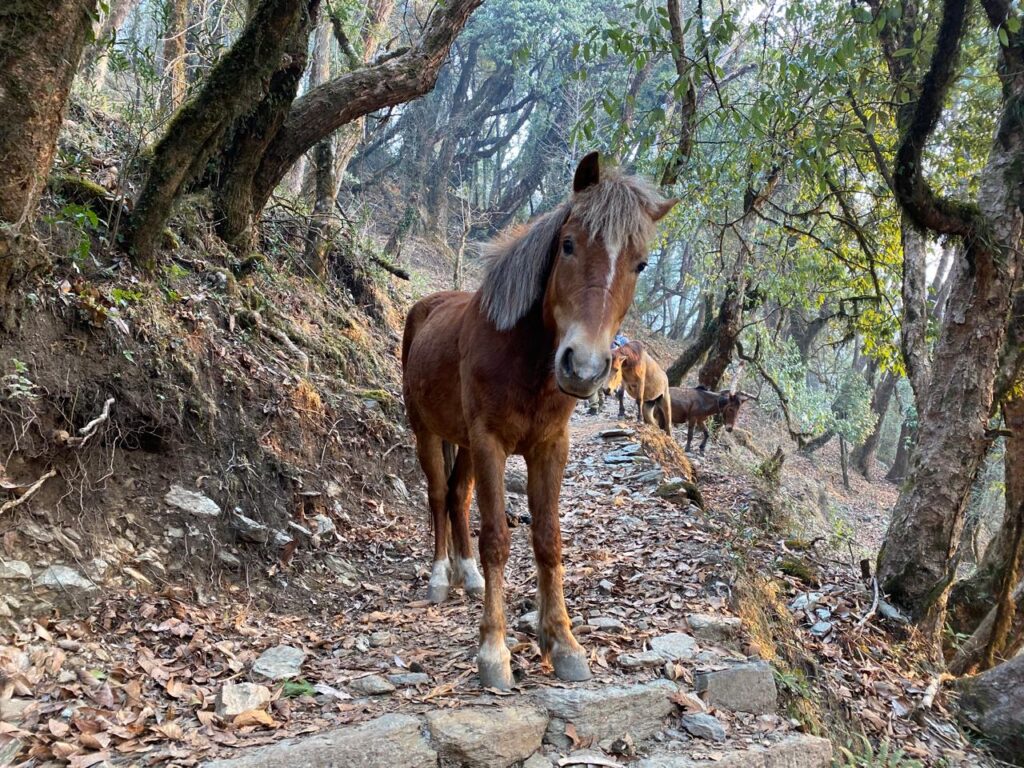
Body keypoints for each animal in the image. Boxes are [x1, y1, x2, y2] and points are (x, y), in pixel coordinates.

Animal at [402, 152, 676, 689]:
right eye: (568, 244)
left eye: (640, 264)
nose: (584, 367)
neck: (524, 360)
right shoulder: (491, 442)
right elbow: (497, 540)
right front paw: (493, 651)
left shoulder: (550, 446)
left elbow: (548, 540)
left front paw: (563, 642)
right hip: (428, 432)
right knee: (440, 495)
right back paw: (442, 576)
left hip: (465, 443)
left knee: (459, 497)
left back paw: (467, 575)